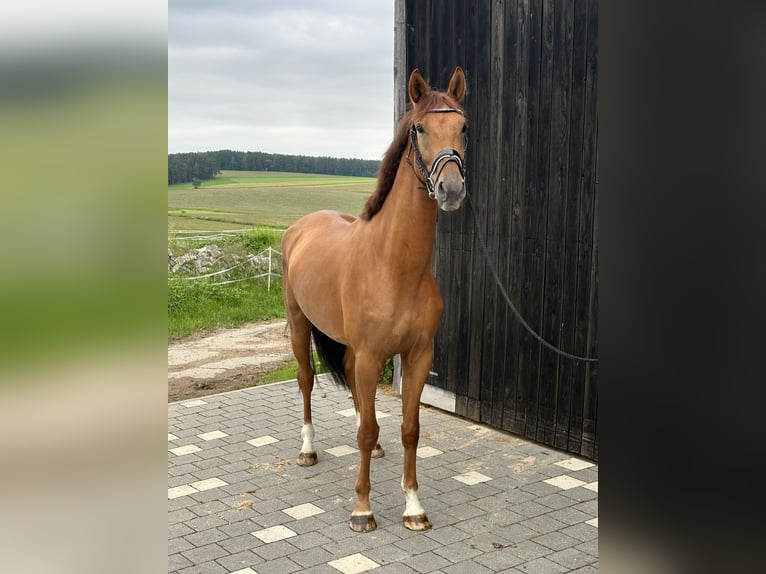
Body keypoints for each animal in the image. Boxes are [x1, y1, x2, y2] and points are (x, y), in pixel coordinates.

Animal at [280, 66, 464, 532]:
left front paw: (413, 506)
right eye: (419, 128)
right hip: (301, 325)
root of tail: (301, 228)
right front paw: (362, 510)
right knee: (306, 379)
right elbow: (365, 431)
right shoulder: (369, 354)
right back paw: (307, 450)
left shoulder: (417, 356)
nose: (451, 189)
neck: (394, 266)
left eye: (464, 127)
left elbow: (408, 428)